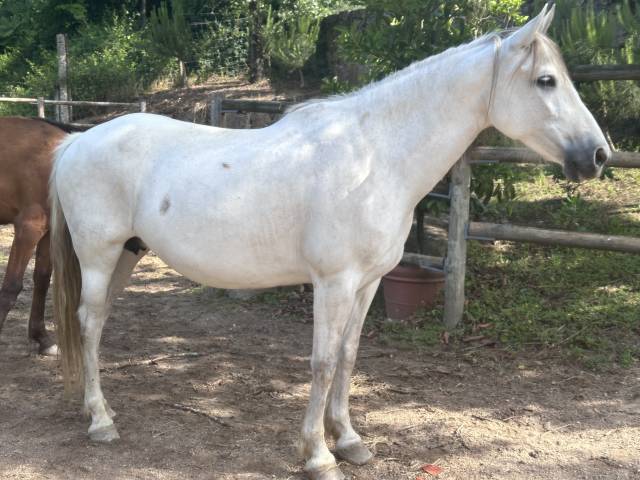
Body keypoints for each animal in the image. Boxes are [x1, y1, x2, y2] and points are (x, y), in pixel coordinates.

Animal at [50, 5, 610, 479]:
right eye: (545, 80)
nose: (599, 155)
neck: (374, 157)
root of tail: (77, 140)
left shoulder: (367, 283)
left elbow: (347, 355)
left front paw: (350, 440)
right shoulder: (333, 283)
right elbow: (321, 363)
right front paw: (318, 455)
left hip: (126, 255)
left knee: (96, 323)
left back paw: (97, 408)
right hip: (99, 256)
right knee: (89, 323)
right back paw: (101, 422)